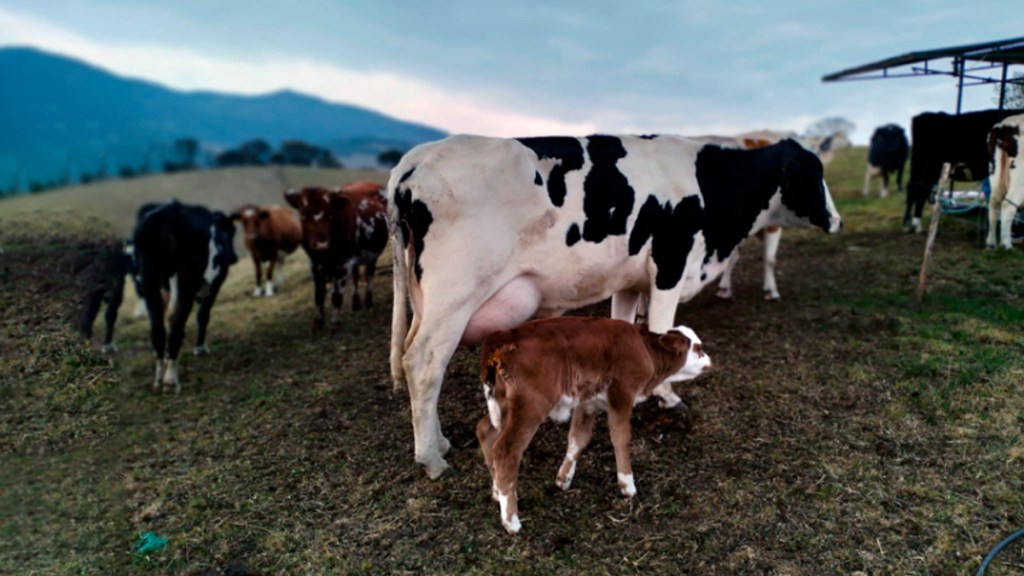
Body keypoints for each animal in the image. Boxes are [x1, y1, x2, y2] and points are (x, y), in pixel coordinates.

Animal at [133, 200, 238, 393]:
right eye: (231, 232)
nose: (234, 257)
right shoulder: (215, 285)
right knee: (177, 325)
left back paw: (159, 378)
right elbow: (203, 316)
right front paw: (200, 348)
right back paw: (171, 380)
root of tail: (168, 213)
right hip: (186, 280)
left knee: (158, 328)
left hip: (149, 276)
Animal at [284, 181, 389, 330]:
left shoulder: (344, 263)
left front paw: (335, 323)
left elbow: (336, 295)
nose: (321, 244)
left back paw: (368, 302)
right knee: (356, 275)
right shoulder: (314, 264)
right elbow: (319, 294)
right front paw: (318, 323)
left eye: (330, 215)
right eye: (304, 216)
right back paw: (355, 303)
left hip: (373, 253)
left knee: (369, 273)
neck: (326, 255)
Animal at [389, 134, 842, 478]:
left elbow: (625, 330)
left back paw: (441, 441)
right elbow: (662, 330)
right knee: (423, 364)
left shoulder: (629, 281)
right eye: (812, 174)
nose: (836, 221)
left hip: (425, 300)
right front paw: (668, 396)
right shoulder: (670, 268)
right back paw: (431, 459)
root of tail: (415, 159)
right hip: (453, 298)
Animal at [475, 317, 711, 534]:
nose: (710, 361)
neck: (645, 349)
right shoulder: (622, 396)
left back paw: (497, 492)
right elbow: (621, 438)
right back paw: (511, 520)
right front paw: (627, 484)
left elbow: (578, 439)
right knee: (505, 450)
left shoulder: (588, 403)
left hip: (504, 407)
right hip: (530, 408)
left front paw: (564, 479)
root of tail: (503, 335)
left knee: (485, 432)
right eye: (698, 348)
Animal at [986, 113, 1024, 249]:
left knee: (994, 203)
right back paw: (1006, 244)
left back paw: (991, 243)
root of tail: (1003, 125)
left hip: (995, 174)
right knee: (1007, 205)